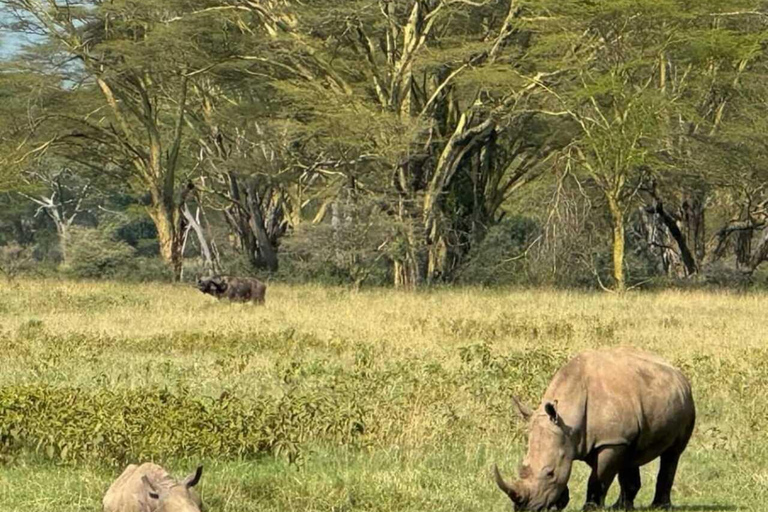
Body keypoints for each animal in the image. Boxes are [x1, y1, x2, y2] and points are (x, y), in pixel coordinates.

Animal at [496, 346, 700, 510]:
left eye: (550, 473)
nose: (524, 508)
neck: (568, 419)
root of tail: (678, 372)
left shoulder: (610, 441)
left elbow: (597, 479)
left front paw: (590, 508)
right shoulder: (584, 440)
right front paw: (562, 502)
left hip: (688, 404)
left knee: (672, 454)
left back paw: (659, 506)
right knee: (631, 456)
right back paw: (621, 507)